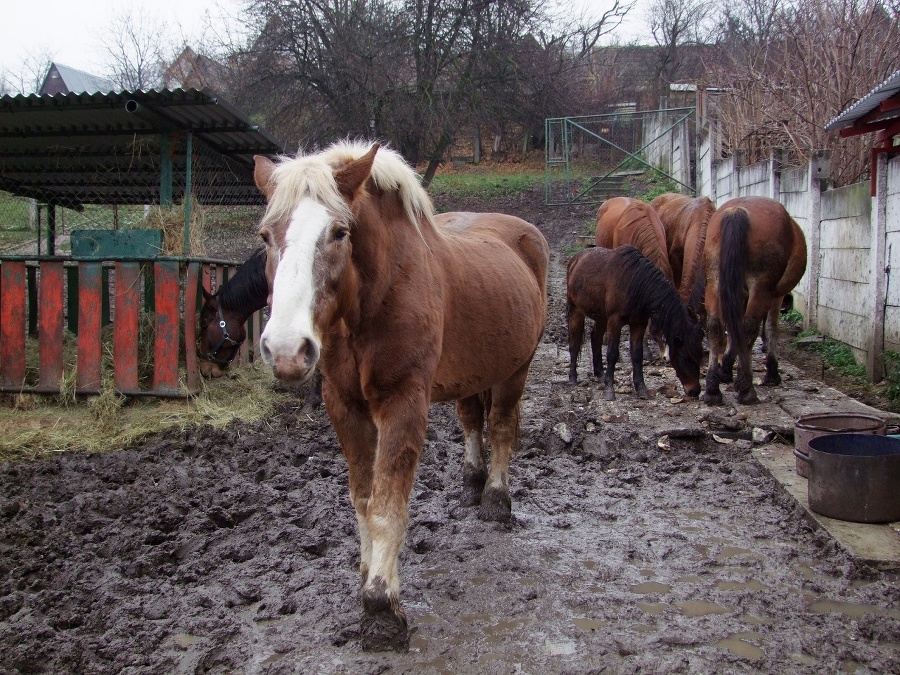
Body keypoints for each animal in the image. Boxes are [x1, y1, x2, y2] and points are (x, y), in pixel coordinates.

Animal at [251, 140, 548, 652]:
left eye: (339, 232)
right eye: (267, 236)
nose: (287, 349)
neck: (374, 299)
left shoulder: (402, 404)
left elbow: (388, 507)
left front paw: (381, 608)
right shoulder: (345, 408)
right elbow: (363, 501)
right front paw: (368, 576)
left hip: (516, 368)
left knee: (502, 428)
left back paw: (495, 499)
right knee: (473, 419)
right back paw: (471, 482)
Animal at [564, 244, 704, 398]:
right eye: (685, 356)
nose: (695, 391)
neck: (635, 284)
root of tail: (575, 260)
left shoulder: (639, 324)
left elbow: (637, 355)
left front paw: (641, 388)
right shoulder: (615, 321)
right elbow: (612, 353)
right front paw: (610, 389)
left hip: (601, 317)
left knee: (596, 338)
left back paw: (600, 374)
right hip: (576, 310)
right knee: (575, 343)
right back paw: (573, 378)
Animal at [704, 195, 808, 406]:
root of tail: (738, 210)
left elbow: (732, 328)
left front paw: (726, 368)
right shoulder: (775, 295)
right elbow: (771, 328)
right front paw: (772, 373)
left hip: (714, 282)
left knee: (715, 327)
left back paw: (712, 389)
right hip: (762, 288)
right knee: (749, 328)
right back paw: (746, 388)